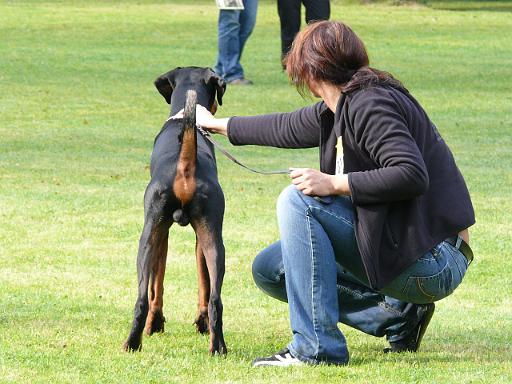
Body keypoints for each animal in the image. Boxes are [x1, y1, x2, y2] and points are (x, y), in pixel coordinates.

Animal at [123, 67, 227, 356]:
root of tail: (185, 165)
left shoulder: (161, 233)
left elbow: (156, 286)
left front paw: (156, 323)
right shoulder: (190, 237)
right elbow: (202, 285)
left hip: (148, 238)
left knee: (141, 298)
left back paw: (133, 341)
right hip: (213, 240)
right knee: (215, 299)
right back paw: (217, 347)